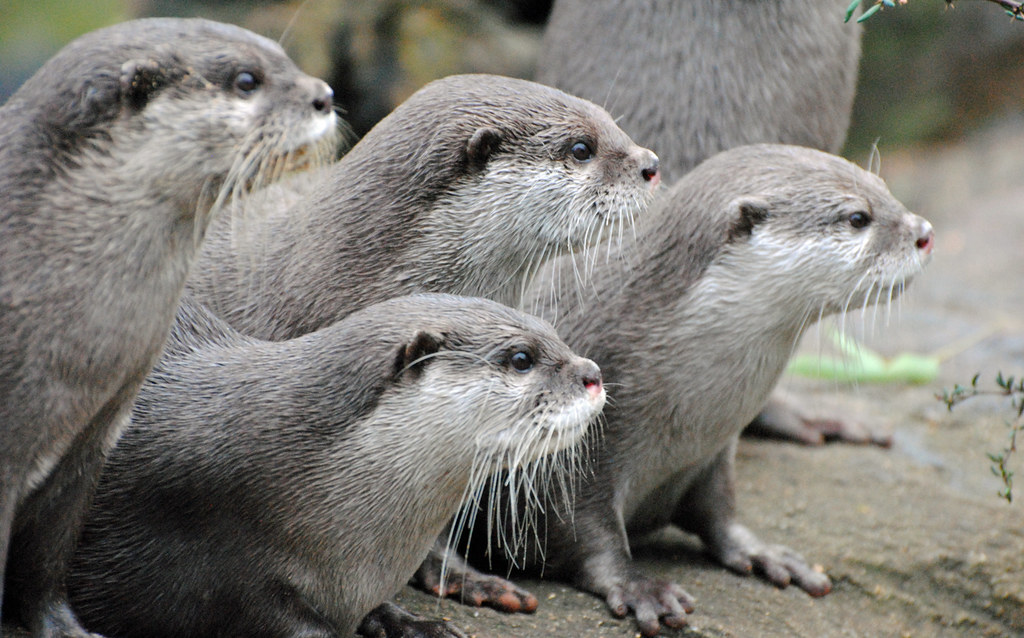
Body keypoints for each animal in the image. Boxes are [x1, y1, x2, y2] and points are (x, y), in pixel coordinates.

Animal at [0, 18, 337, 637]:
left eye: (283, 58)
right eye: (246, 79)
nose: (324, 95)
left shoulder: (93, 437)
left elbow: (48, 557)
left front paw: (67, 628)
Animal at [457, 144, 934, 635]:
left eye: (883, 187)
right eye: (858, 217)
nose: (925, 233)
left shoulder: (712, 452)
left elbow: (719, 509)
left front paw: (760, 551)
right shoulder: (565, 461)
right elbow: (583, 532)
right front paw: (639, 587)